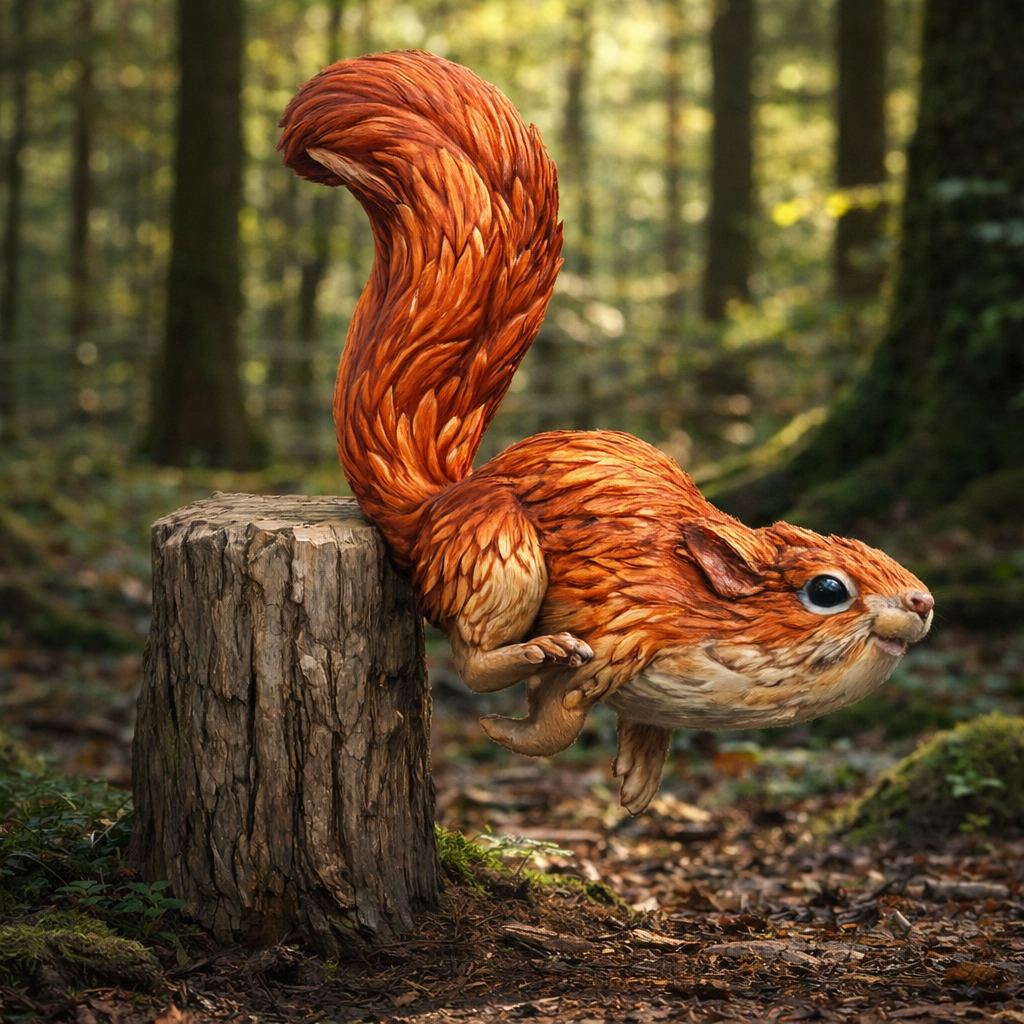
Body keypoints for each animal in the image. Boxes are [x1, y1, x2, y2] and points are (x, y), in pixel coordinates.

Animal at [278, 50, 933, 813]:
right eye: (828, 591)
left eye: (876, 551)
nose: (923, 602)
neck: (706, 609)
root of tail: (431, 506)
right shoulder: (621, 625)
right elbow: (558, 718)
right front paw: (515, 732)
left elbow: (638, 724)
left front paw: (640, 780)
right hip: (495, 552)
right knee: (471, 658)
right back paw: (529, 653)